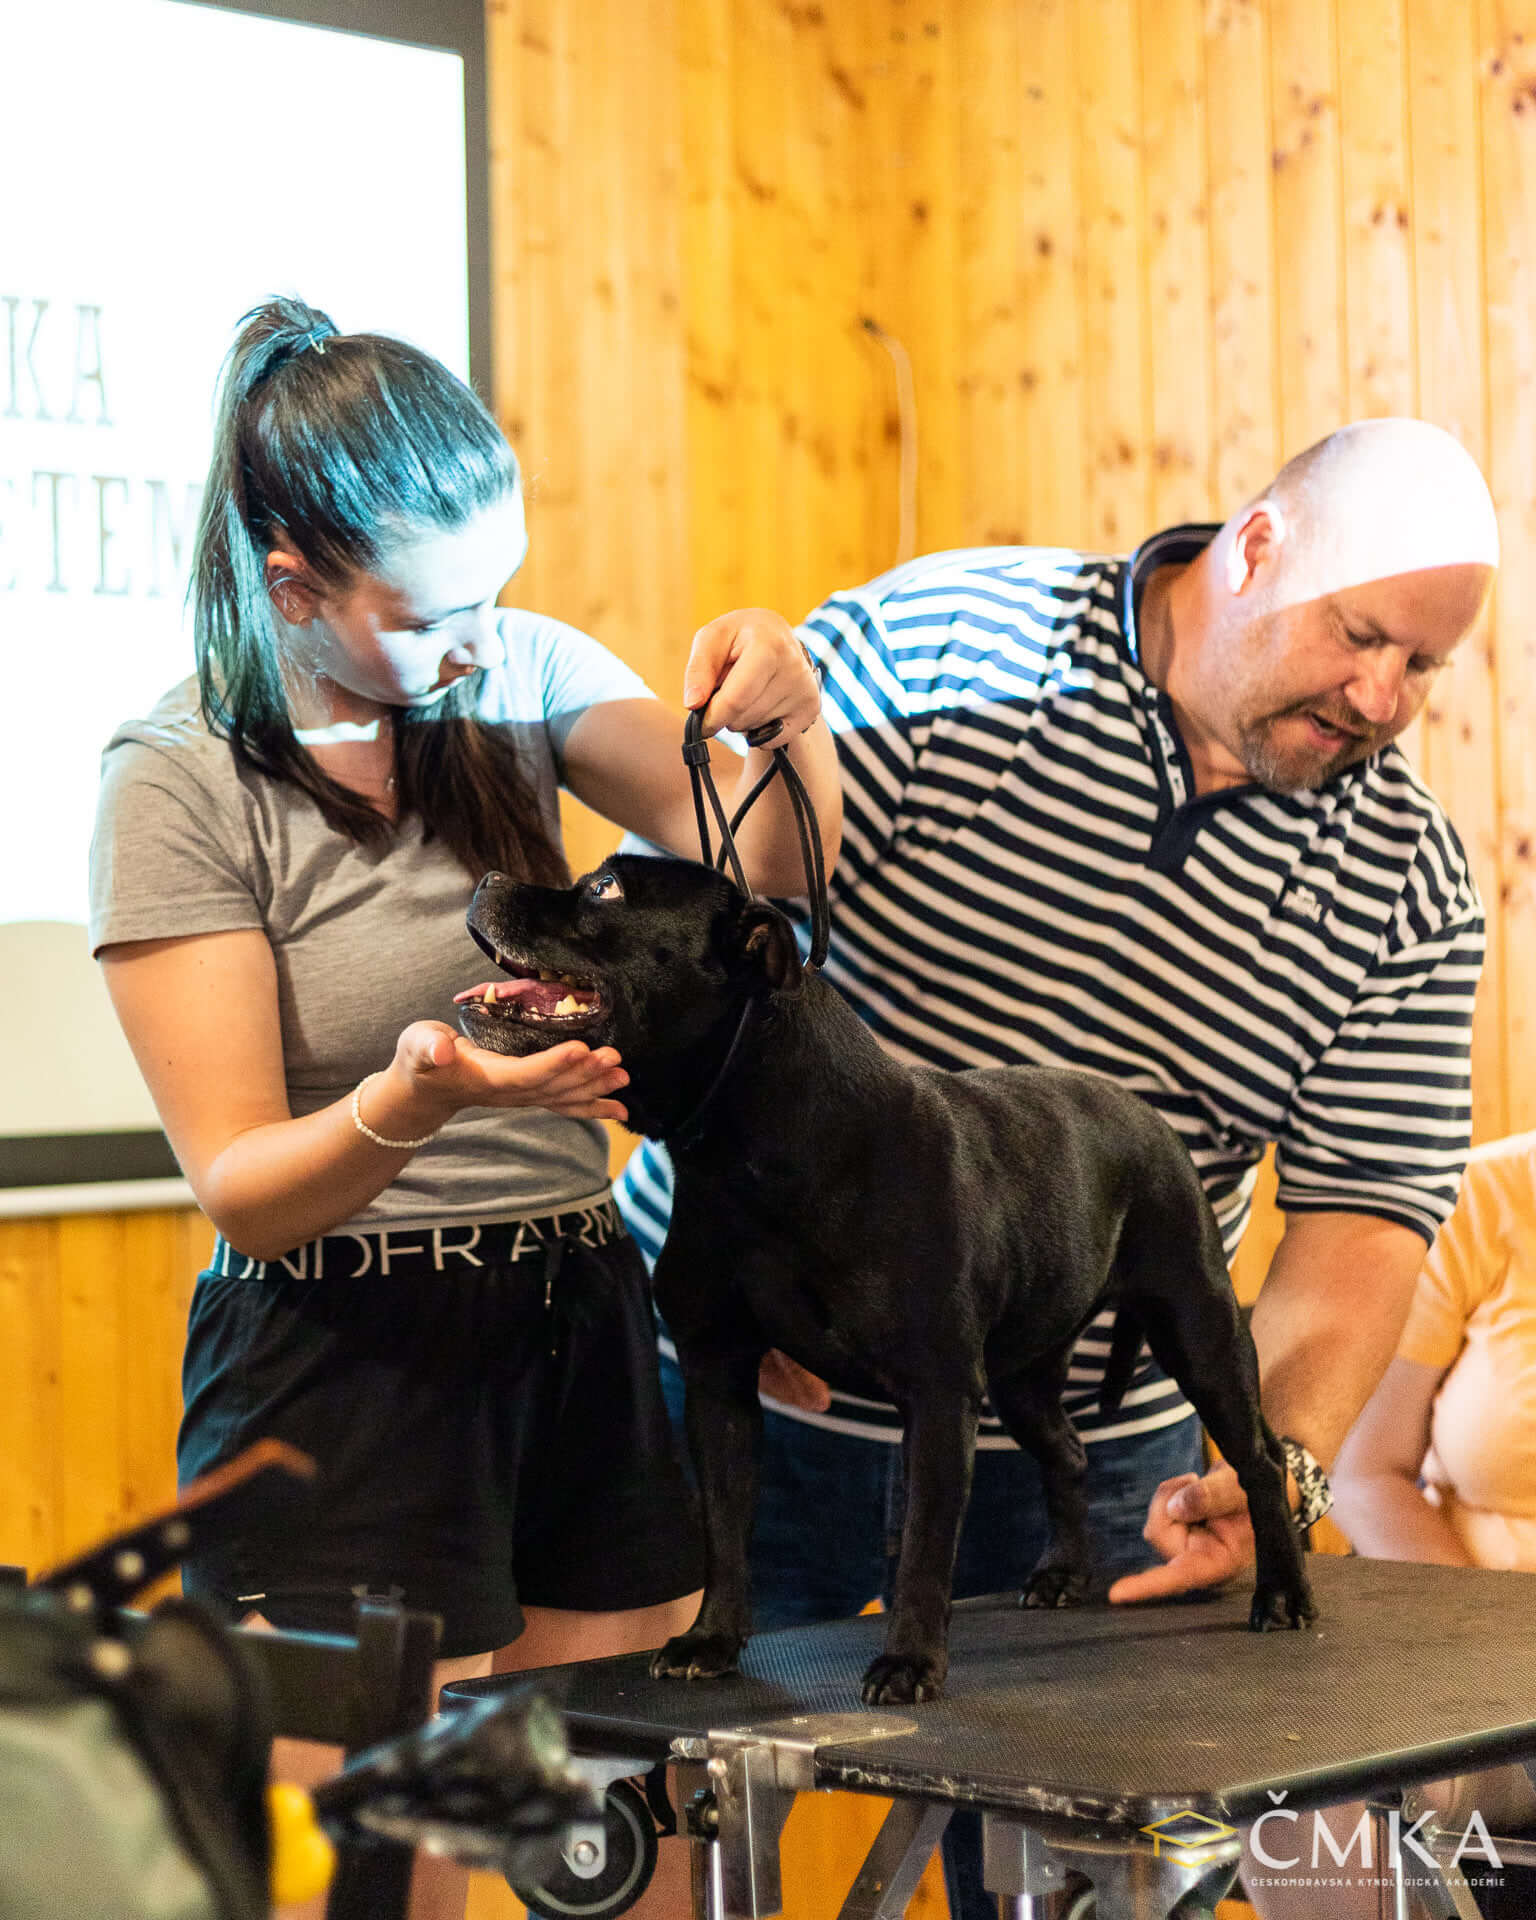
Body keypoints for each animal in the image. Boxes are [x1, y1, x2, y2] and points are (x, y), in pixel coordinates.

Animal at [456, 864, 1305, 1704]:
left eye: (605, 891)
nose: (489, 877)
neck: (757, 1148)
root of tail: (1150, 1119)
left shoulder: (938, 1397)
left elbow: (925, 1548)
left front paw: (909, 1663)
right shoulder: (718, 1380)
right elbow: (726, 1531)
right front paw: (711, 1640)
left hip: (1200, 1333)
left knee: (1262, 1462)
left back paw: (1283, 1597)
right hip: (1023, 1379)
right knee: (1067, 1453)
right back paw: (1063, 1575)